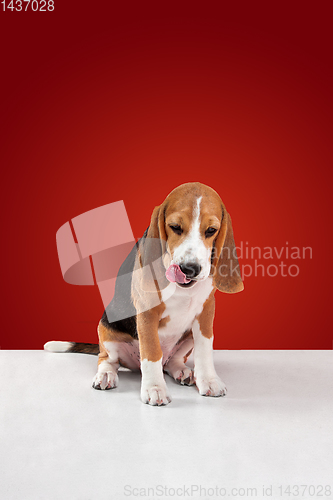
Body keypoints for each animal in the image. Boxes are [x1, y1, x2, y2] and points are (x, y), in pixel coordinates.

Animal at [44, 184, 243, 406]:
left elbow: (205, 348)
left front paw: (209, 380)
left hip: (186, 338)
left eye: (211, 230)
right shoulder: (147, 313)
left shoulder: (206, 311)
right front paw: (155, 388)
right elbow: (152, 351)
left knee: (171, 361)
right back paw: (106, 375)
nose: (189, 269)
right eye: (175, 227)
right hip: (106, 332)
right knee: (108, 359)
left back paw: (182, 372)